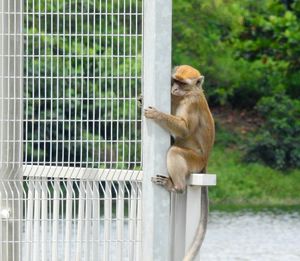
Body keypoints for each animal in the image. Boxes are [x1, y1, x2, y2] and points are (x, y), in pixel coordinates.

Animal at [144, 64, 214, 258]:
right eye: (175, 81)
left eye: (182, 84)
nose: (175, 89)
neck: (190, 92)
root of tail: (205, 162)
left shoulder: (191, 103)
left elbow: (184, 129)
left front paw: (158, 114)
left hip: (194, 161)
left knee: (175, 152)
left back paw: (177, 187)